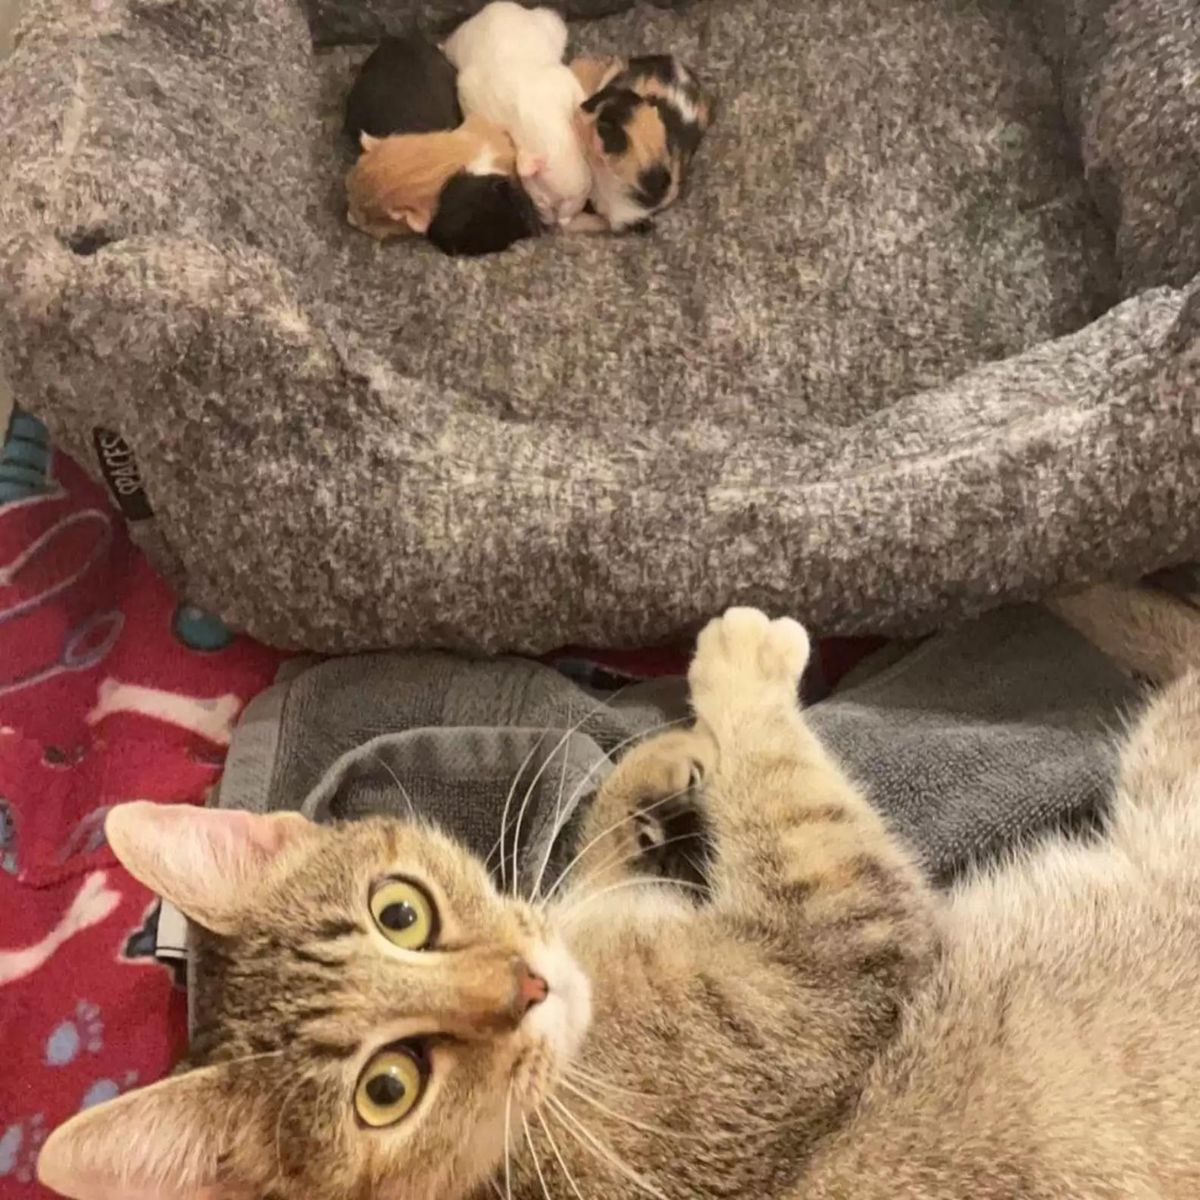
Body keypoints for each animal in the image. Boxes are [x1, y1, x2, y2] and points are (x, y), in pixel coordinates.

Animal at [39, 597, 1200, 1200]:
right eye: (388, 1090)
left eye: (400, 912)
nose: (523, 987)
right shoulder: (831, 954)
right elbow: (790, 795)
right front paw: (735, 673)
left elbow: (600, 848)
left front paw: (656, 769)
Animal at [441, 1, 590, 226]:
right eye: (543, 201)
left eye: (580, 203)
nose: (555, 225)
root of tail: (498, 6)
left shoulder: (565, 82)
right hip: (462, 39)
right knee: (450, 43)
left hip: (550, 23)